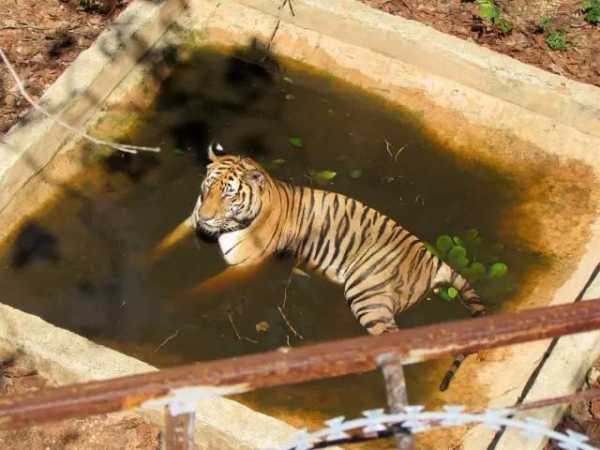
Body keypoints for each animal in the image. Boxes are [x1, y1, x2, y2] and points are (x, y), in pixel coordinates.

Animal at [192, 142, 488, 388]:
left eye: (229, 195)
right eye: (207, 187)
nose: (203, 217)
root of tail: (431, 258)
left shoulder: (244, 264)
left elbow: (203, 288)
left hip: (367, 297)